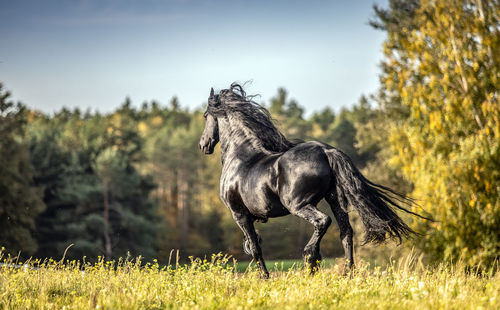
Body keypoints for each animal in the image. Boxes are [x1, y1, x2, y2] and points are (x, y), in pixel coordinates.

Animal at [199, 83, 426, 278]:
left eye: (205, 115)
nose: (203, 144)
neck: (240, 156)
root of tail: (326, 151)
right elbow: (252, 244)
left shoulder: (240, 214)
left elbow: (254, 248)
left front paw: (265, 277)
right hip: (335, 200)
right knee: (346, 232)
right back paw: (346, 273)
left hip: (298, 205)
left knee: (323, 222)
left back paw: (310, 259)